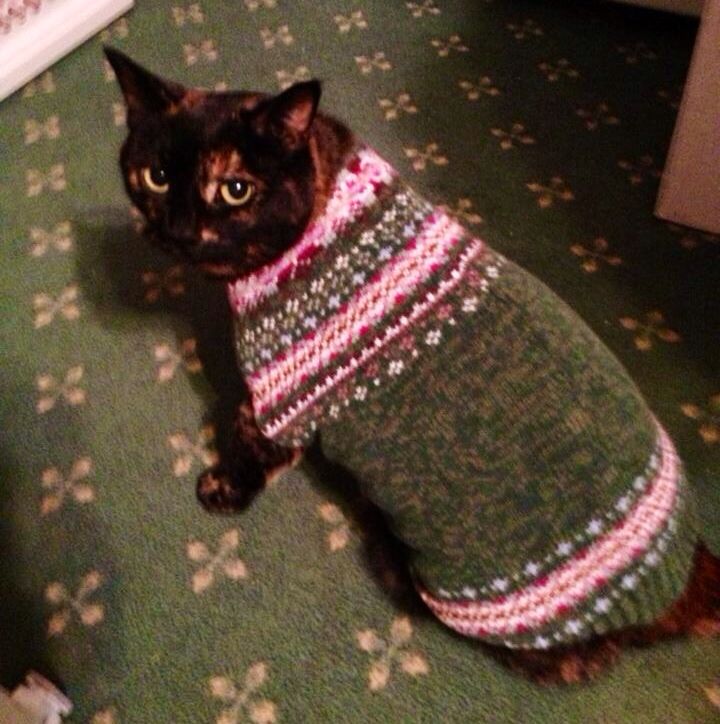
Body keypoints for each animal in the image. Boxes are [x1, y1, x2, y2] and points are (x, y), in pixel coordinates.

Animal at [105, 46, 720, 684]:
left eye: (235, 189)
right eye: (155, 176)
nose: (178, 231)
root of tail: (687, 576)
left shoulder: (280, 400)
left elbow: (247, 444)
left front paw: (221, 489)